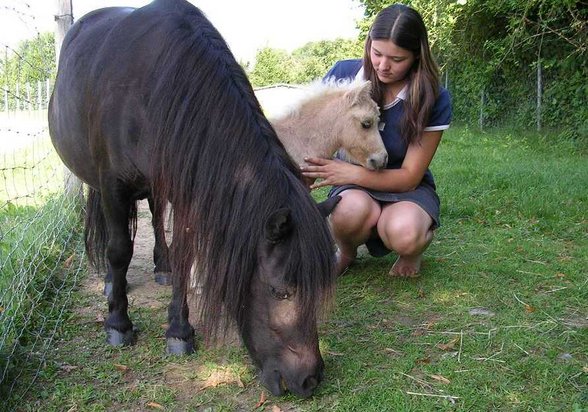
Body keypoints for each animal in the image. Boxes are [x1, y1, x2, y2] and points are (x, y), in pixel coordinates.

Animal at [49, 0, 340, 400]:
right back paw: (111, 282)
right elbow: (119, 250)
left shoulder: (184, 188)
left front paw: (178, 330)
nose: (311, 379)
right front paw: (119, 323)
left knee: (156, 219)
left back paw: (162, 266)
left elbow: (185, 256)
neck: (155, 89)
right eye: (281, 292)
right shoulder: (113, 186)